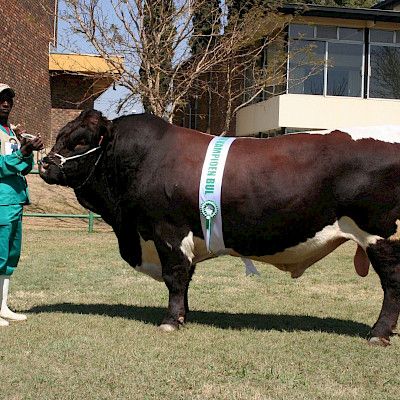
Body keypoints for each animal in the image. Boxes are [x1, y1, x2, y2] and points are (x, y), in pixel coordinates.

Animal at [39, 111, 400, 346]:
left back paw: (378, 334)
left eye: (80, 141)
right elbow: (186, 279)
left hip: (381, 236)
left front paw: (170, 322)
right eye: (60, 135)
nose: (44, 163)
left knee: (392, 285)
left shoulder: (168, 231)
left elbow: (175, 277)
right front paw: (184, 316)